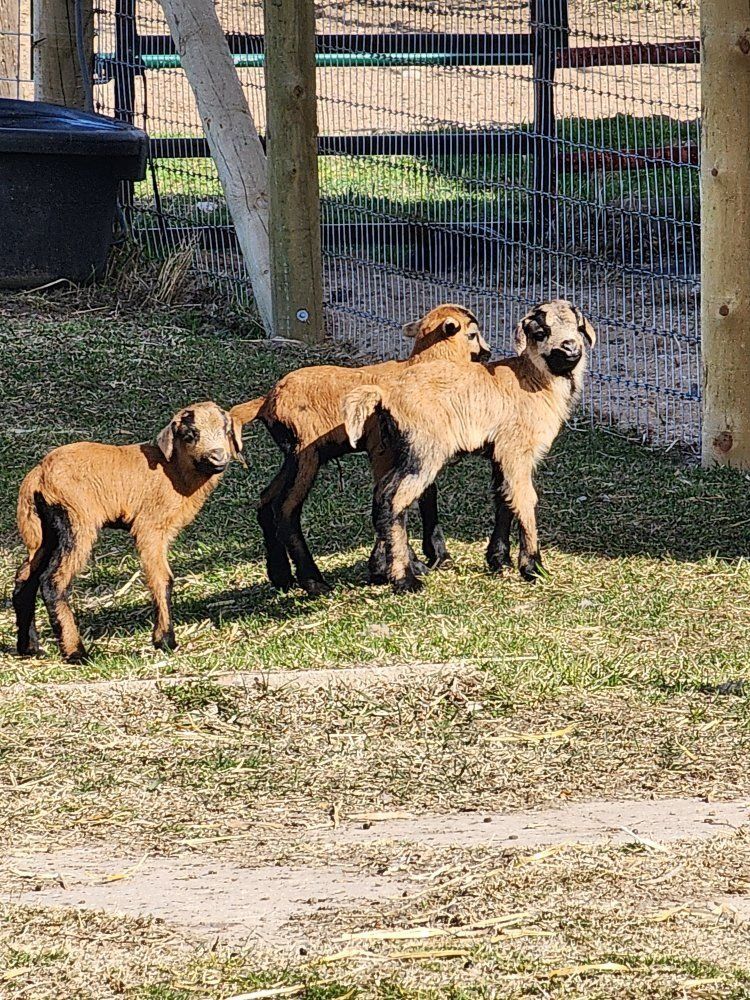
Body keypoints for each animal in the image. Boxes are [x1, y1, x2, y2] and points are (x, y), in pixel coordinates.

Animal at [13, 401, 245, 663]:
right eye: (189, 435)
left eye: (226, 431)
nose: (217, 457)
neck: (174, 472)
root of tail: (38, 474)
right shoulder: (151, 528)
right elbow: (162, 578)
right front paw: (165, 641)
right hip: (76, 520)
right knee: (53, 580)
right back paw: (76, 652)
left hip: (45, 531)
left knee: (25, 577)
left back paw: (29, 647)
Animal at [230, 303, 491, 595]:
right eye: (472, 334)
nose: (487, 352)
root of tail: (266, 402)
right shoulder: (382, 449)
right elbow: (391, 499)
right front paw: (392, 567)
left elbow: (423, 495)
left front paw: (429, 558)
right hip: (306, 455)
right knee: (285, 510)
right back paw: (313, 581)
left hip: (293, 456)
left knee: (266, 500)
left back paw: (281, 576)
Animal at [342, 300, 596, 593]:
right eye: (540, 332)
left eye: (577, 327)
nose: (570, 348)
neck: (534, 380)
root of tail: (384, 393)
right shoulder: (516, 449)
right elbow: (524, 499)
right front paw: (533, 567)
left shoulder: (500, 453)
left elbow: (504, 497)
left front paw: (499, 560)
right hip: (425, 451)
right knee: (395, 499)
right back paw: (405, 580)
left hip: (397, 452)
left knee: (381, 497)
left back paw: (386, 570)